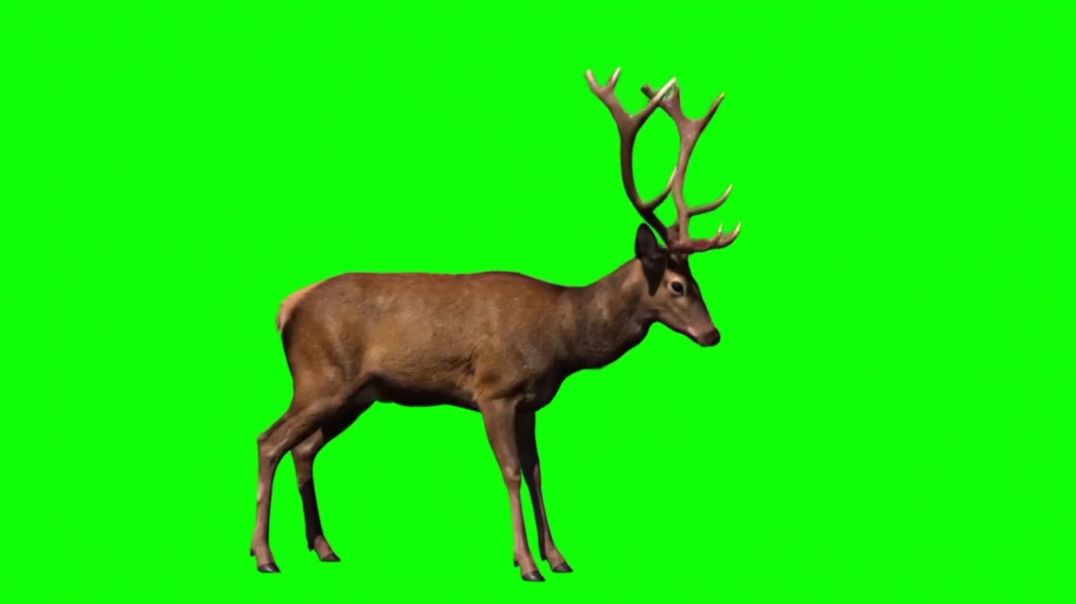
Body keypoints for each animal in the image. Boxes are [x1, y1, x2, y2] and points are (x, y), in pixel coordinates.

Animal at [251, 68, 741, 581]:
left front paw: (557, 557)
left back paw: (323, 547)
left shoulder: (530, 403)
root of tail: (287, 307)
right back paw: (265, 555)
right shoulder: (494, 390)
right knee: (269, 441)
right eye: (676, 286)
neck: (562, 337)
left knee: (303, 449)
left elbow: (537, 470)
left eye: (697, 281)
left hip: (356, 394)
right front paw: (526, 563)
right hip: (319, 378)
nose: (712, 334)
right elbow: (510, 471)